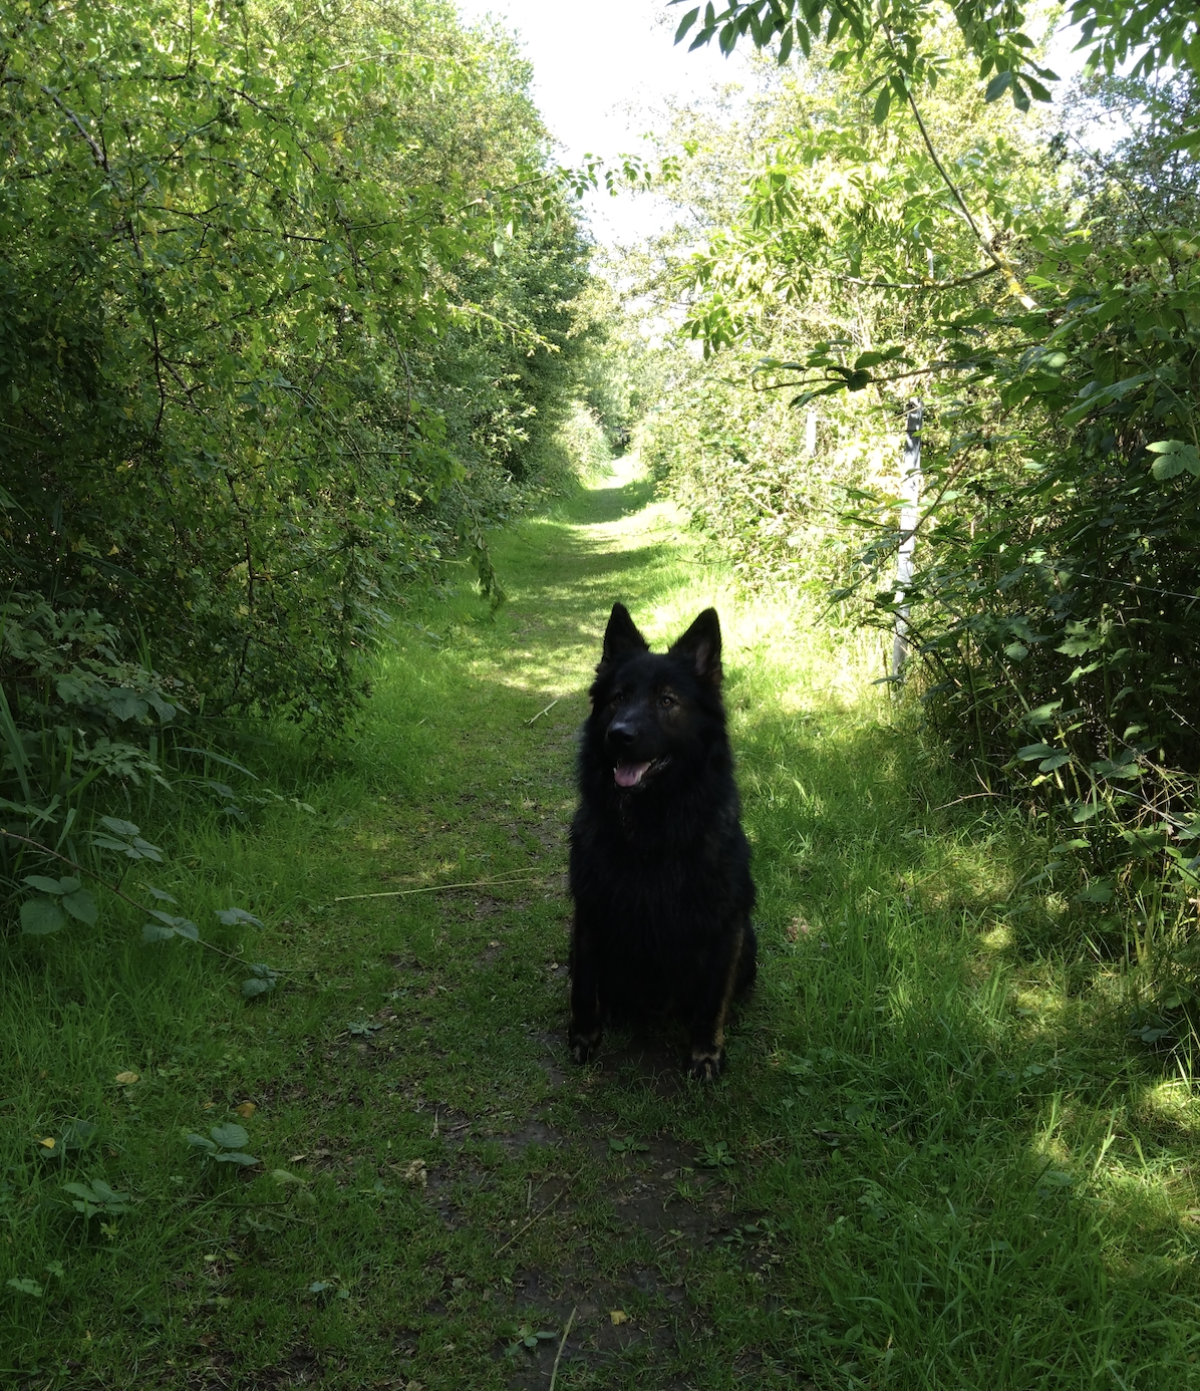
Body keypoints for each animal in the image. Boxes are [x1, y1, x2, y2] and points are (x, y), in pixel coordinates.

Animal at [567, 598, 756, 1073]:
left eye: (667, 700)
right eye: (618, 698)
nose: (619, 736)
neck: (651, 827)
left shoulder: (725, 925)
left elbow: (712, 1000)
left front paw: (705, 1051)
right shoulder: (590, 912)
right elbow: (584, 986)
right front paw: (584, 1034)